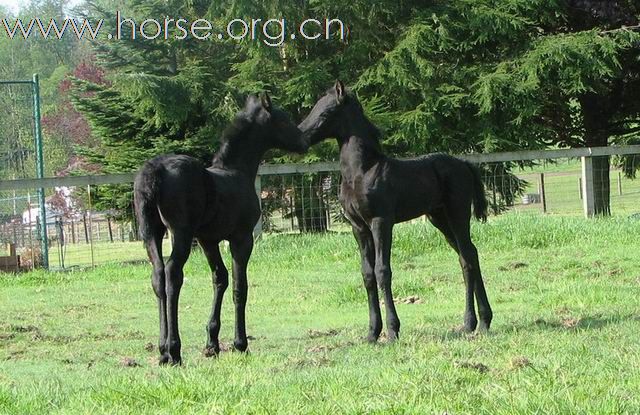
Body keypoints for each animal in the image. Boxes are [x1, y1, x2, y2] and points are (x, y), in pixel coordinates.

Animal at [133, 93, 304, 364]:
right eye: (284, 119)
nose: (304, 141)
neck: (237, 171)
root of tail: (154, 170)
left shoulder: (208, 240)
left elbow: (219, 278)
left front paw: (212, 344)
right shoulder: (241, 238)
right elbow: (239, 286)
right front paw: (240, 344)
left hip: (151, 233)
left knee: (158, 275)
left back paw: (162, 351)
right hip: (180, 233)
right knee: (173, 274)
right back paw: (174, 350)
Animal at [298, 80, 492, 342]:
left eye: (326, 113)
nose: (301, 135)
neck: (361, 172)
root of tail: (464, 164)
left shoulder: (381, 222)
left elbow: (382, 271)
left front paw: (392, 330)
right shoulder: (358, 227)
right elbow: (367, 274)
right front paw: (372, 333)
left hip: (457, 213)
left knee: (468, 257)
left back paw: (476, 322)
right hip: (439, 218)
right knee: (468, 255)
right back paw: (478, 322)